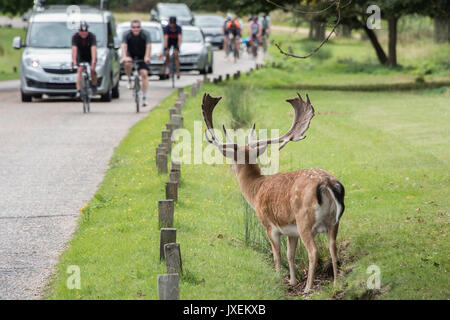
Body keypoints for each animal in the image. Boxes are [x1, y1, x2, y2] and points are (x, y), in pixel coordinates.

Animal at [202, 92, 346, 292]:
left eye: (232, 159)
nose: (231, 168)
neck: (256, 190)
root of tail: (327, 183)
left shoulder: (269, 225)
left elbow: (276, 254)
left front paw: (278, 278)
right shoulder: (291, 231)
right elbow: (290, 254)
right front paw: (292, 281)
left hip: (304, 220)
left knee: (313, 251)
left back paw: (308, 288)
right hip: (334, 222)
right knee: (333, 248)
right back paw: (335, 283)